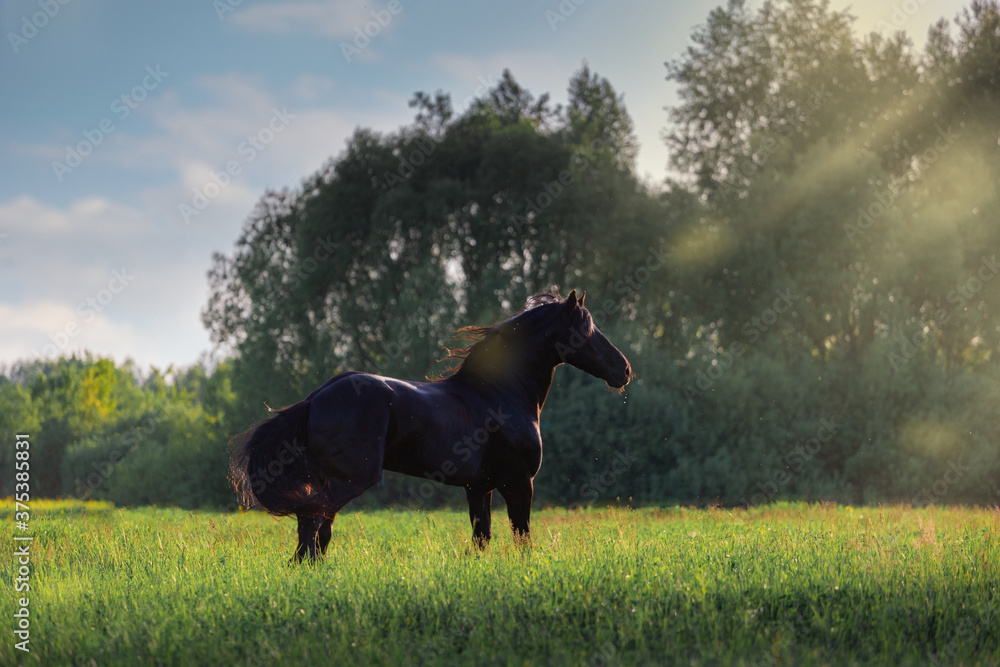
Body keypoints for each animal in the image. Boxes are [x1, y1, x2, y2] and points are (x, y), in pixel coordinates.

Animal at [230, 290, 628, 560]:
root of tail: (315, 398)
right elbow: (522, 537)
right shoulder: (519, 484)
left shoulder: (478, 487)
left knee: (311, 527)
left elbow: (482, 539)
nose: (623, 370)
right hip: (351, 479)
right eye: (587, 329)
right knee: (314, 524)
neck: (499, 394)